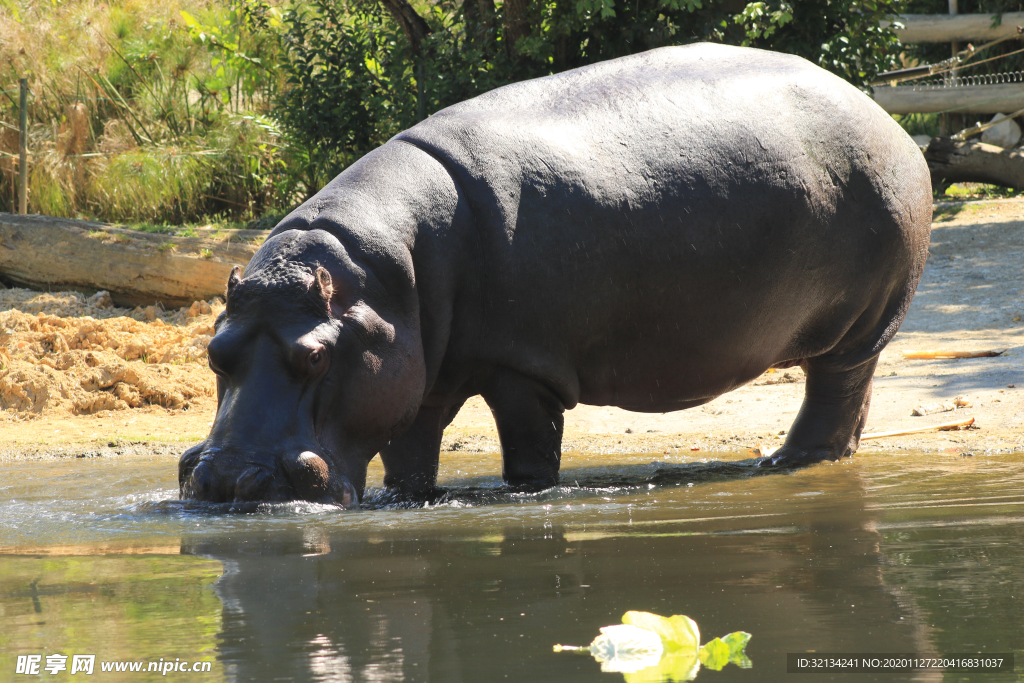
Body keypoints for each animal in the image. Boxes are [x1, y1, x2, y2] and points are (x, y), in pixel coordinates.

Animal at [180, 40, 933, 505]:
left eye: (315, 356)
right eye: (214, 352)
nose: (225, 483)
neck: (379, 276)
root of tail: (882, 112)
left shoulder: (523, 369)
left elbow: (529, 454)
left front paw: (525, 494)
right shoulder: (415, 370)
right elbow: (407, 454)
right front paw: (413, 497)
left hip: (864, 321)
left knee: (835, 386)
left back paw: (787, 462)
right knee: (850, 398)